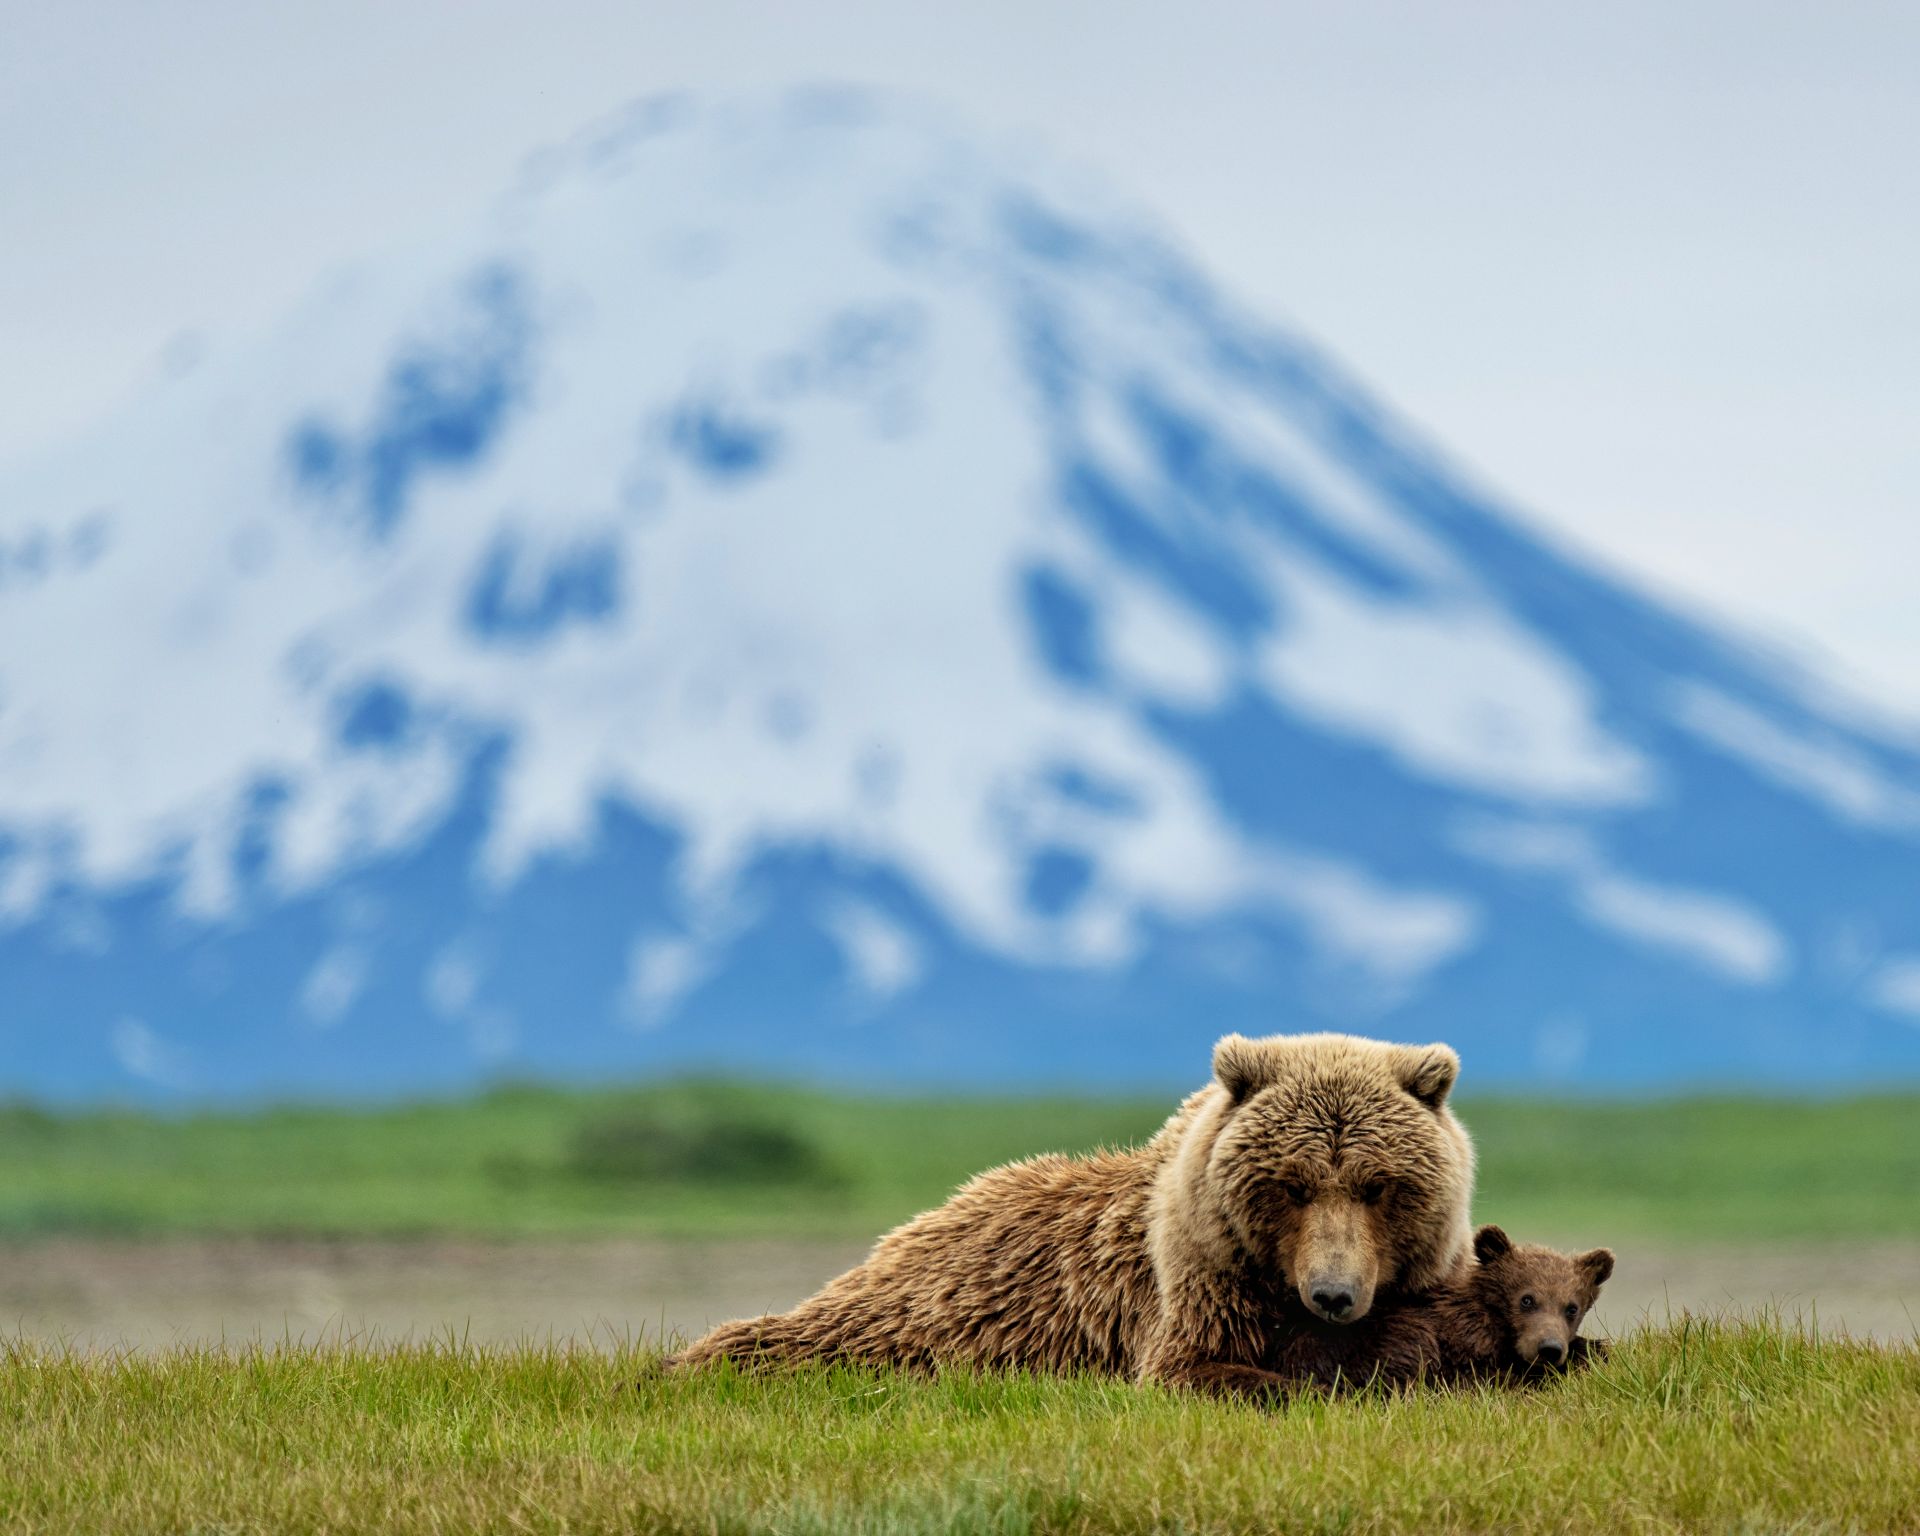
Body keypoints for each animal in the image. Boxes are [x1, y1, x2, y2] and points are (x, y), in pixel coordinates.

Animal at [667, 1031, 1477, 1398]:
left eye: (1378, 1185)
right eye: (1292, 1184)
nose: (1333, 1294)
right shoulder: (1196, 1284)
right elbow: (1193, 1370)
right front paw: (1310, 1378)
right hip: (888, 1326)